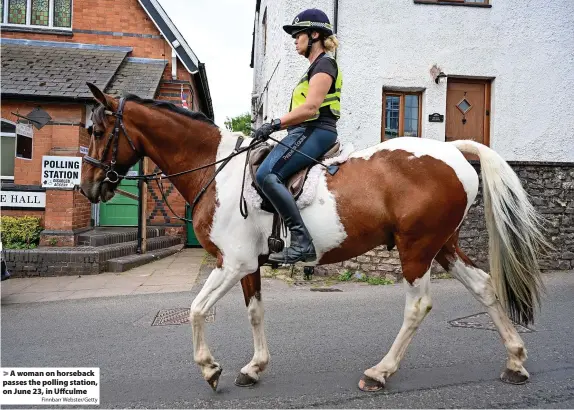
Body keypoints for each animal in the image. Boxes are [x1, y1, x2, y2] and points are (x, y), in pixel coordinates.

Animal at [82, 84, 552, 394]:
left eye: (98, 132)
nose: (88, 189)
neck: (215, 168)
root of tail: (454, 150)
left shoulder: (231, 262)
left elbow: (196, 310)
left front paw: (210, 369)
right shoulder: (248, 265)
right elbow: (255, 313)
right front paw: (254, 368)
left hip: (416, 249)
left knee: (418, 306)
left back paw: (379, 372)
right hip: (444, 246)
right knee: (485, 287)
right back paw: (515, 360)